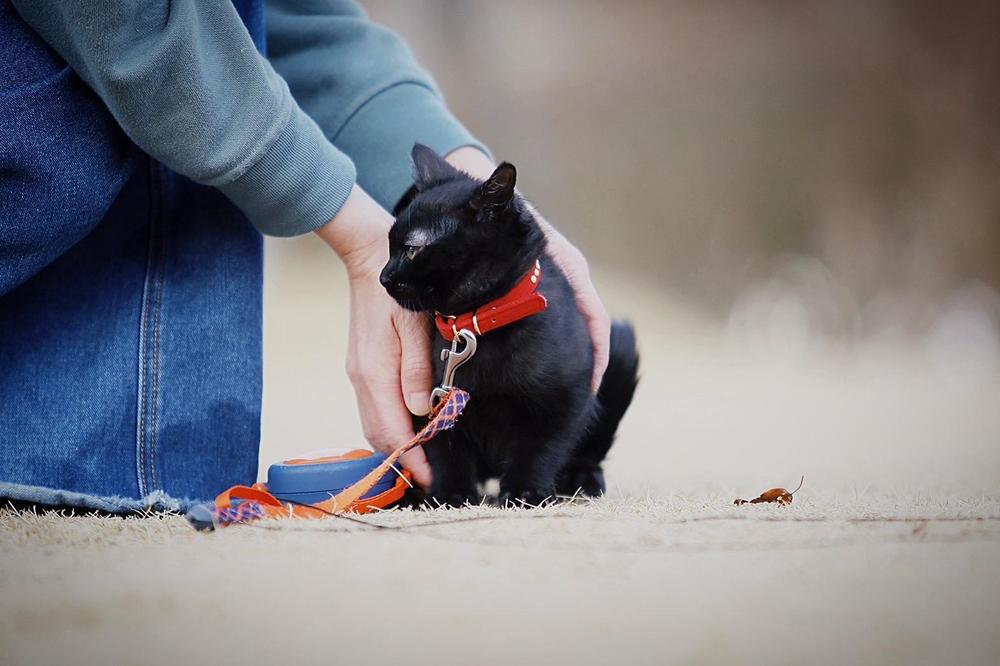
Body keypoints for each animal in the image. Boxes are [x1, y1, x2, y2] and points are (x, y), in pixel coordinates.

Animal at [378, 145, 636, 506]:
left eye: (412, 249)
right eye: (389, 245)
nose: (383, 277)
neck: (475, 327)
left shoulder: (564, 398)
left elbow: (540, 448)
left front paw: (525, 490)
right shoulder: (430, 402)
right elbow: (445, 449)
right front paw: (451, 492)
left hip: (619, 353)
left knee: (588, 455)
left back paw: (581, 479)